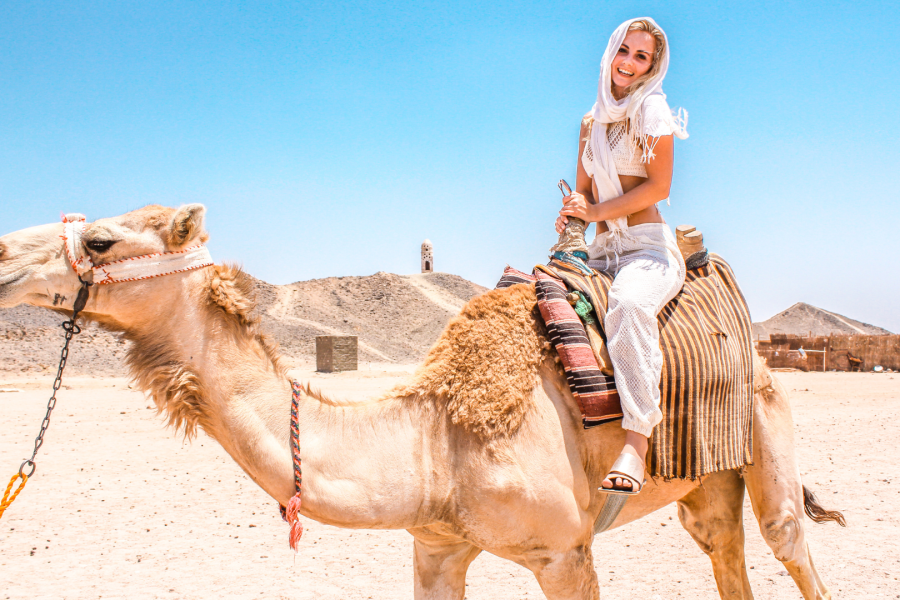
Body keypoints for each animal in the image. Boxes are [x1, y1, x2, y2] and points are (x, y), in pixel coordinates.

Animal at [0, 204, 844, 596]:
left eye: (102, 240)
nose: (4, 253)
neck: (435, 442)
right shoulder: (435, 546)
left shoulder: (565, 553)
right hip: (706, 480)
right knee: (724, 552)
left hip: (767, 430)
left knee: (790, 545)